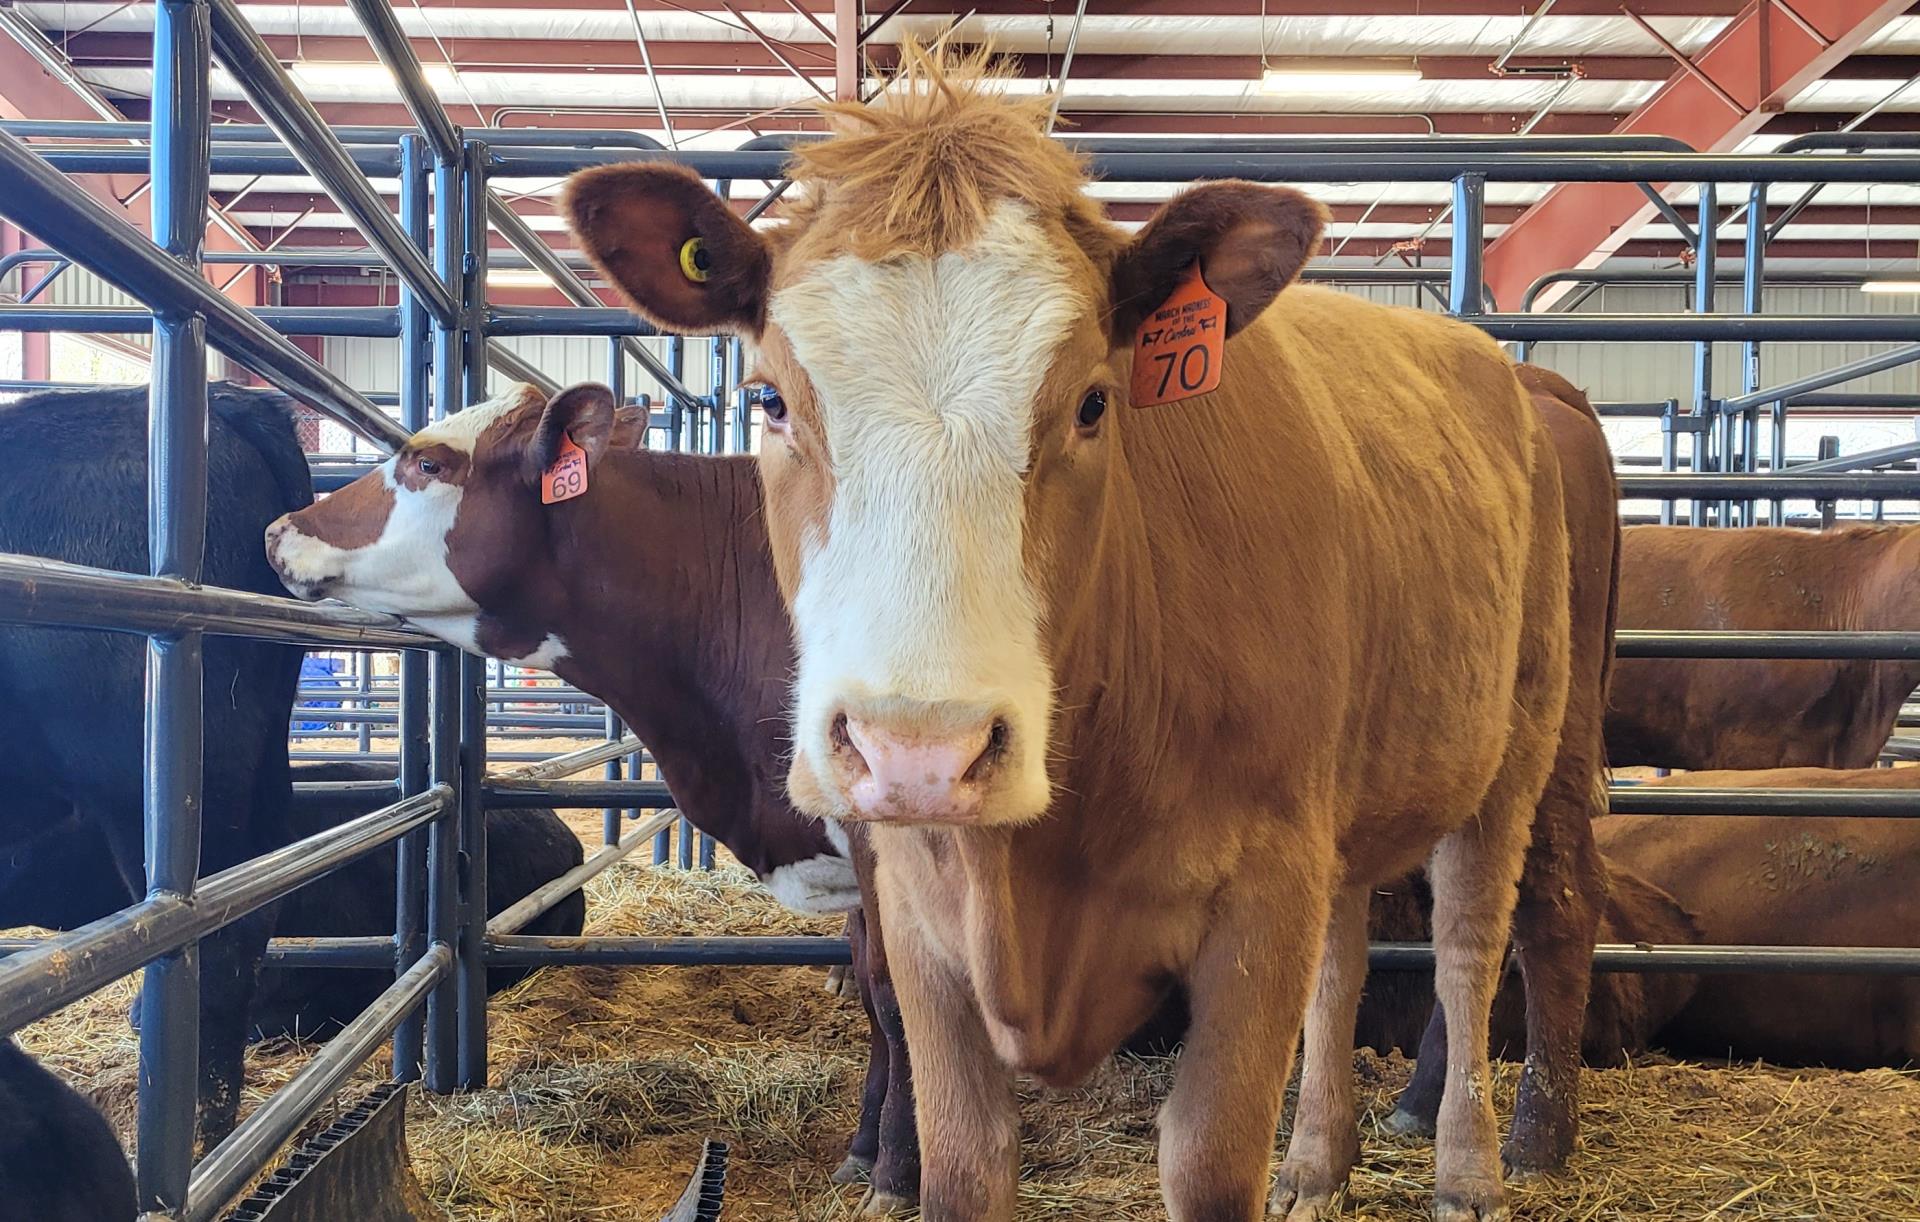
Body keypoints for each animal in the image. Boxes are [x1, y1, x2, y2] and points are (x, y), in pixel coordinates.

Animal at [560, 50, 1612, 1222]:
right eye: (771, 401)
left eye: (1095, 404)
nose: (919, 753)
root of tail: (1522, 378)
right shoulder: (919, 912)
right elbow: (964, 1163)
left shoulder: (1261, 900)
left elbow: (1209, 1161)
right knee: (1346, 953)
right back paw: (1314, 1161)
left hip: (1524, 749)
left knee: (1478, 938)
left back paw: (1474, 1165)